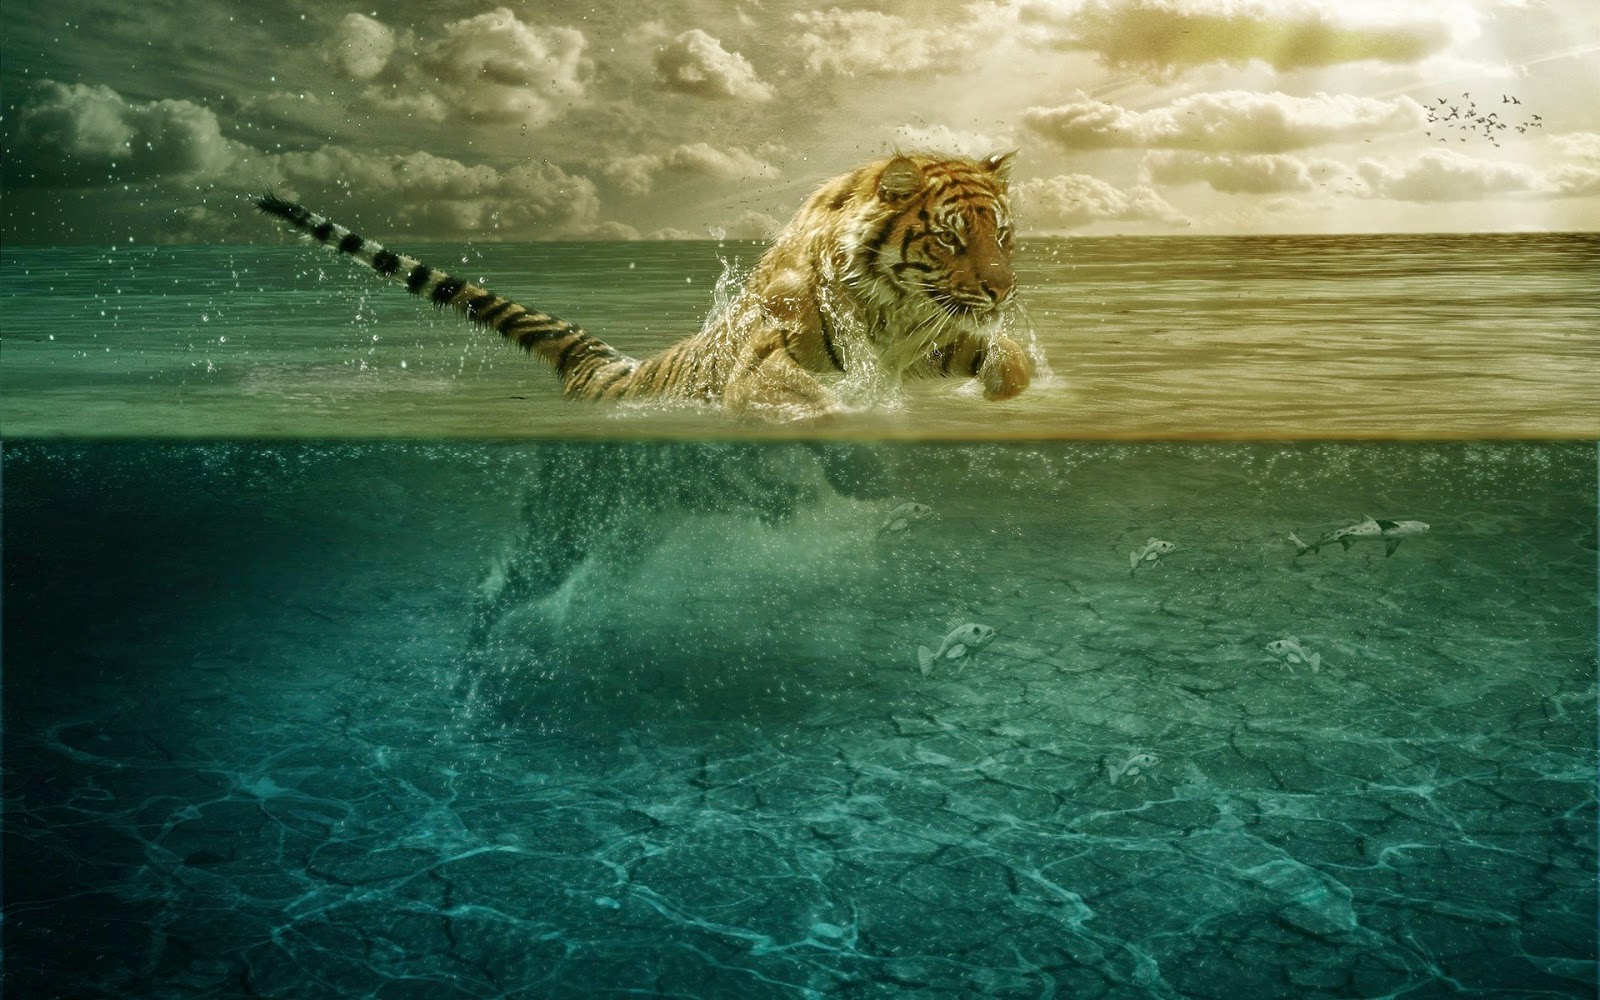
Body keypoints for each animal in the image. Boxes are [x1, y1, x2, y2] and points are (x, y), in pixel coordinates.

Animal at [255, 150, 1033, 420]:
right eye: (950, 238)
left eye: (1002, 235)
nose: (1002, 293)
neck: (894, 312)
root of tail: (605, 368)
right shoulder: (766, 358)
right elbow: (804, 397)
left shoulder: (931, 339)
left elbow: (1007, 363)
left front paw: (1008, 383)